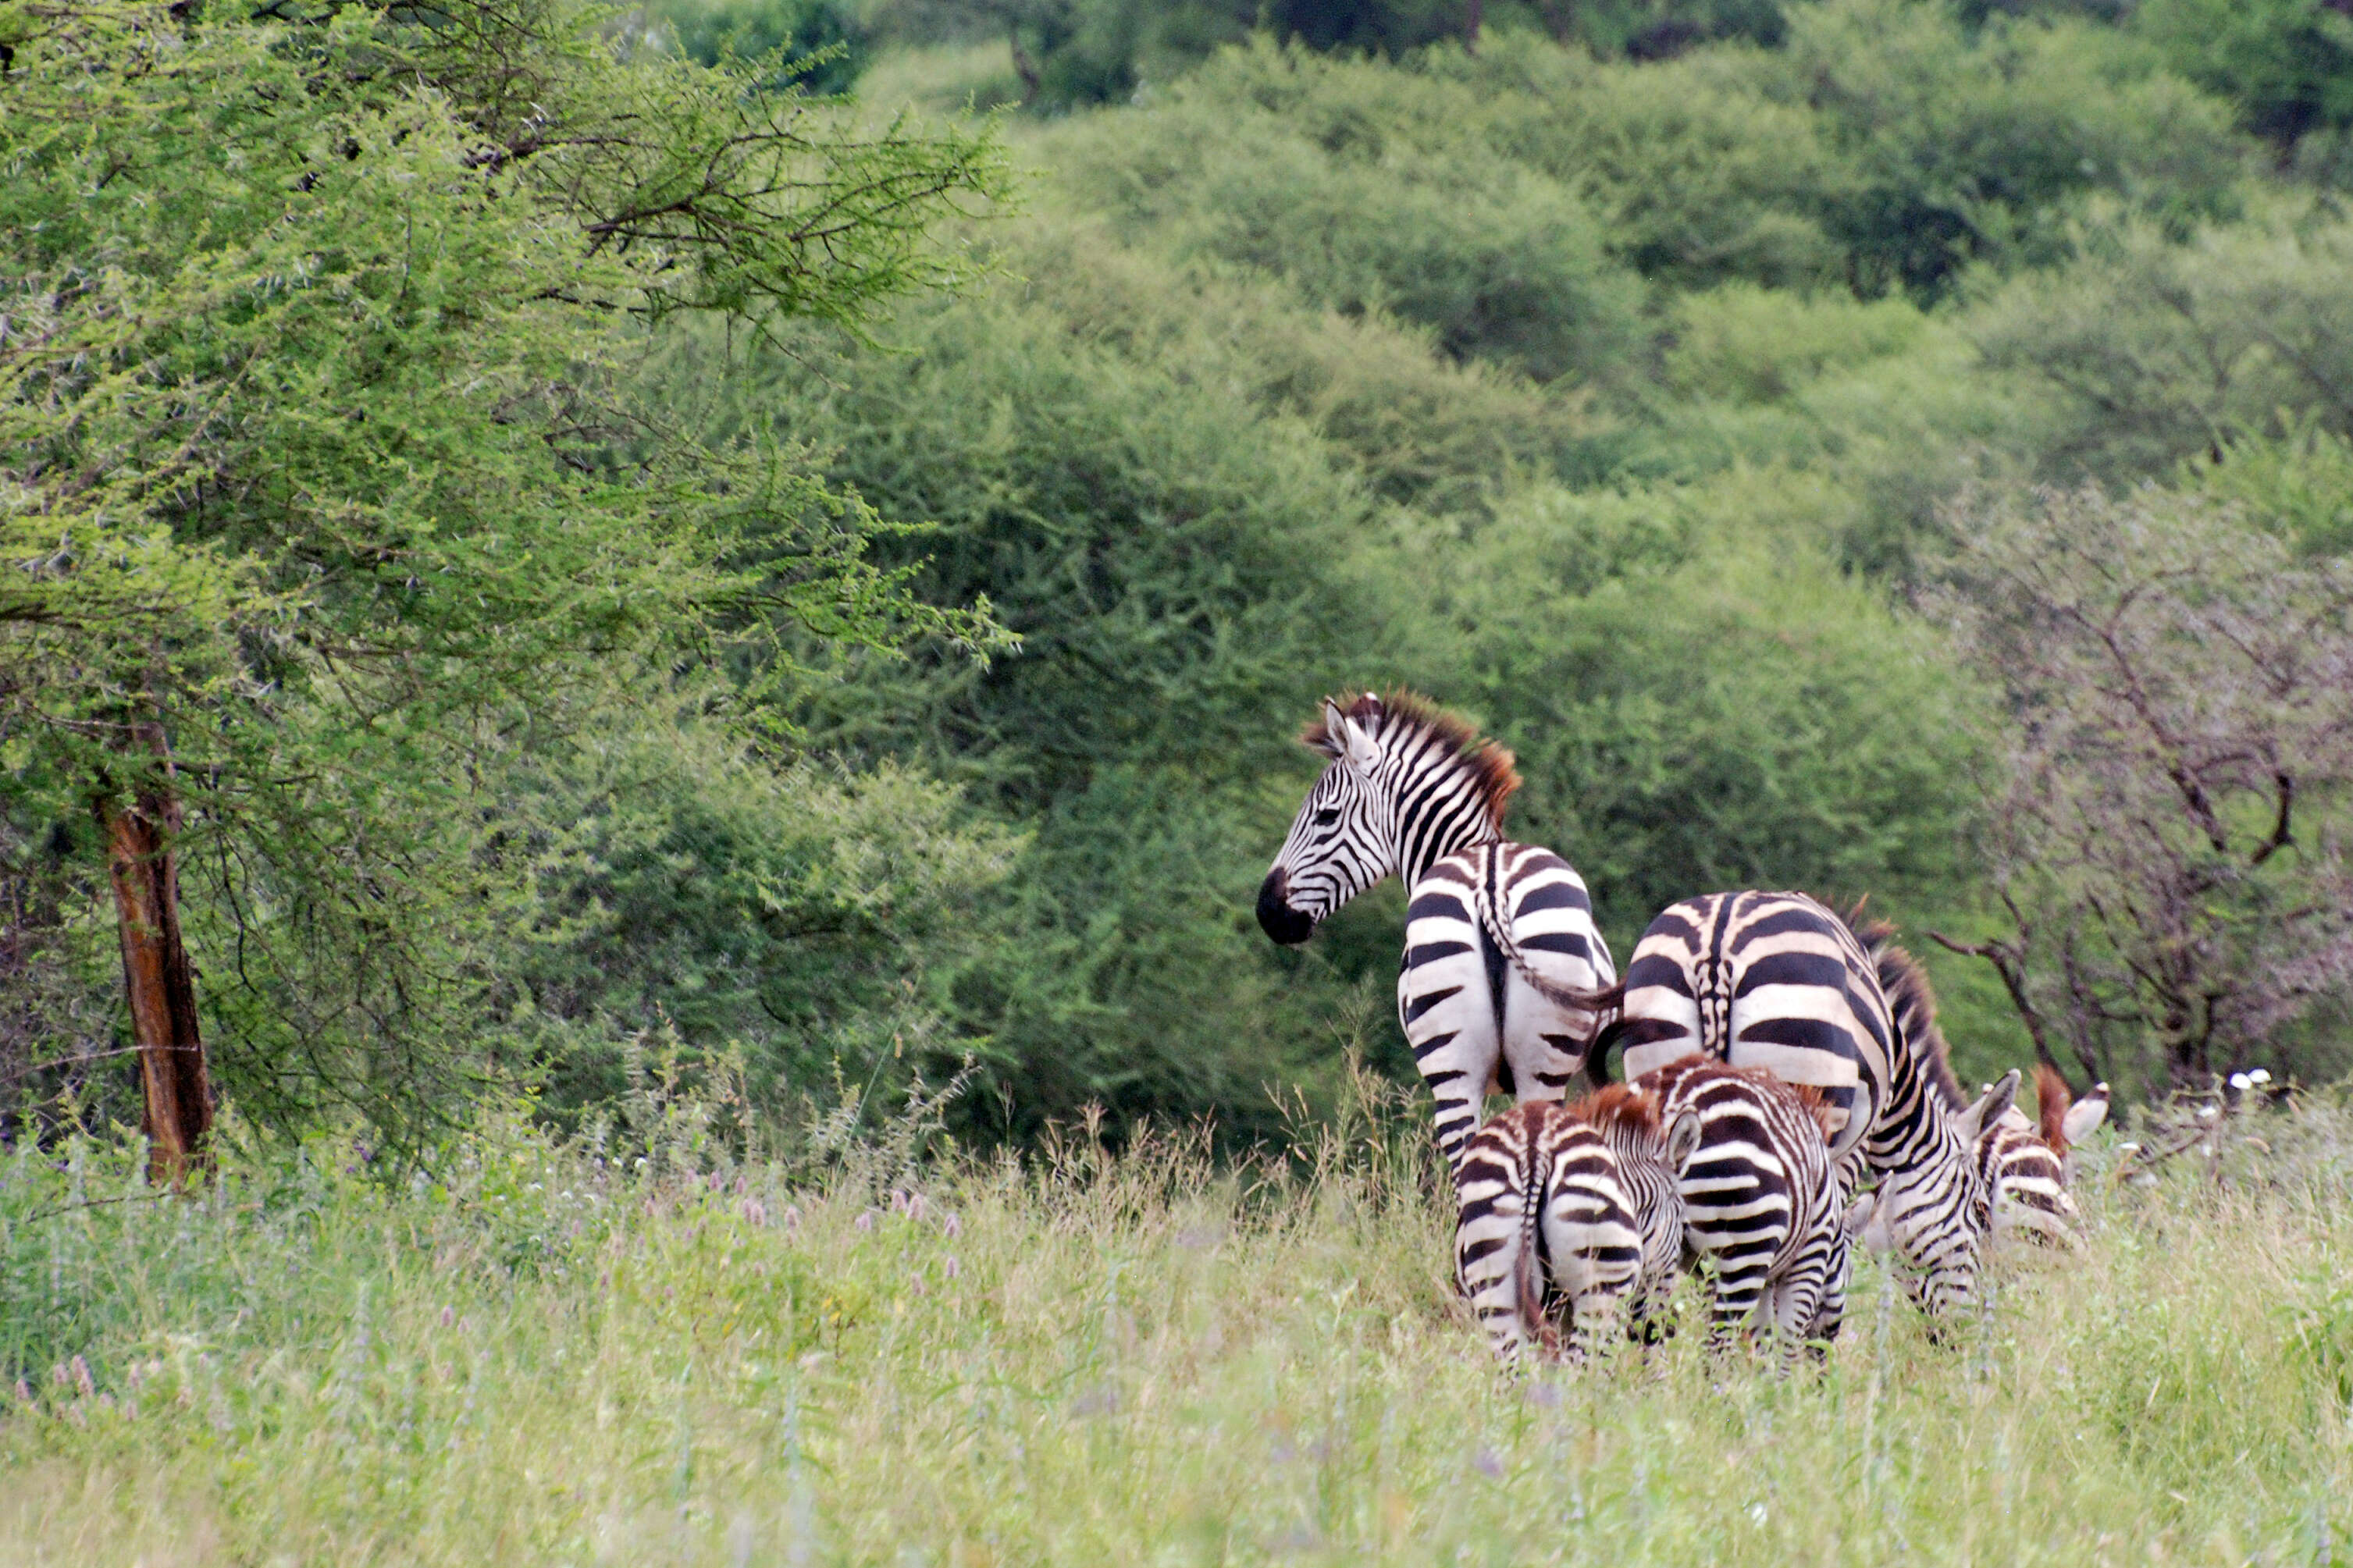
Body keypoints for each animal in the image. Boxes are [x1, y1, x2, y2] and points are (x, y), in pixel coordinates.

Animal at [1646, 1053, 1864, 1363]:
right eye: (1851, 1272)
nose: (1825, 1354)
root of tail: (1670, 1103)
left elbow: (1763, 1342)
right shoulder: (1808, 1260)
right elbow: (1785, 1346)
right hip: (1743, 1250)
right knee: (1717, 1347)